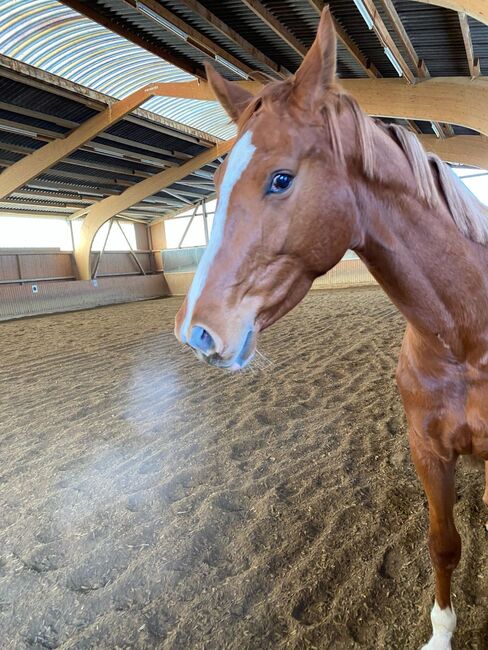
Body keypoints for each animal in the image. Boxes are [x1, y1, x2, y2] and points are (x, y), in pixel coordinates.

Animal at [176, 7, 488, 644]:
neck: (466, 341)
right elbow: (443, 545)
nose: (196, 331)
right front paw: (441, 634)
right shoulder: (428, 452)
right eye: (214, 188)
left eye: (280, 179)